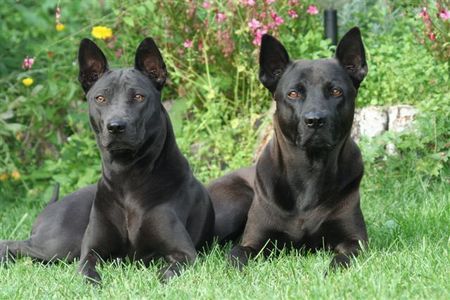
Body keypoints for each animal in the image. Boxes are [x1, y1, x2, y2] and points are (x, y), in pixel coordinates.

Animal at [209, 27, 368, 268]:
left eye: (336, 92)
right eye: (293, 93)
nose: (315, 121)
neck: (309, 171)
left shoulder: (355, 241)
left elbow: (341, 259)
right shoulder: (253, 241)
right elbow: (236, 255)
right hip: (236, 203)